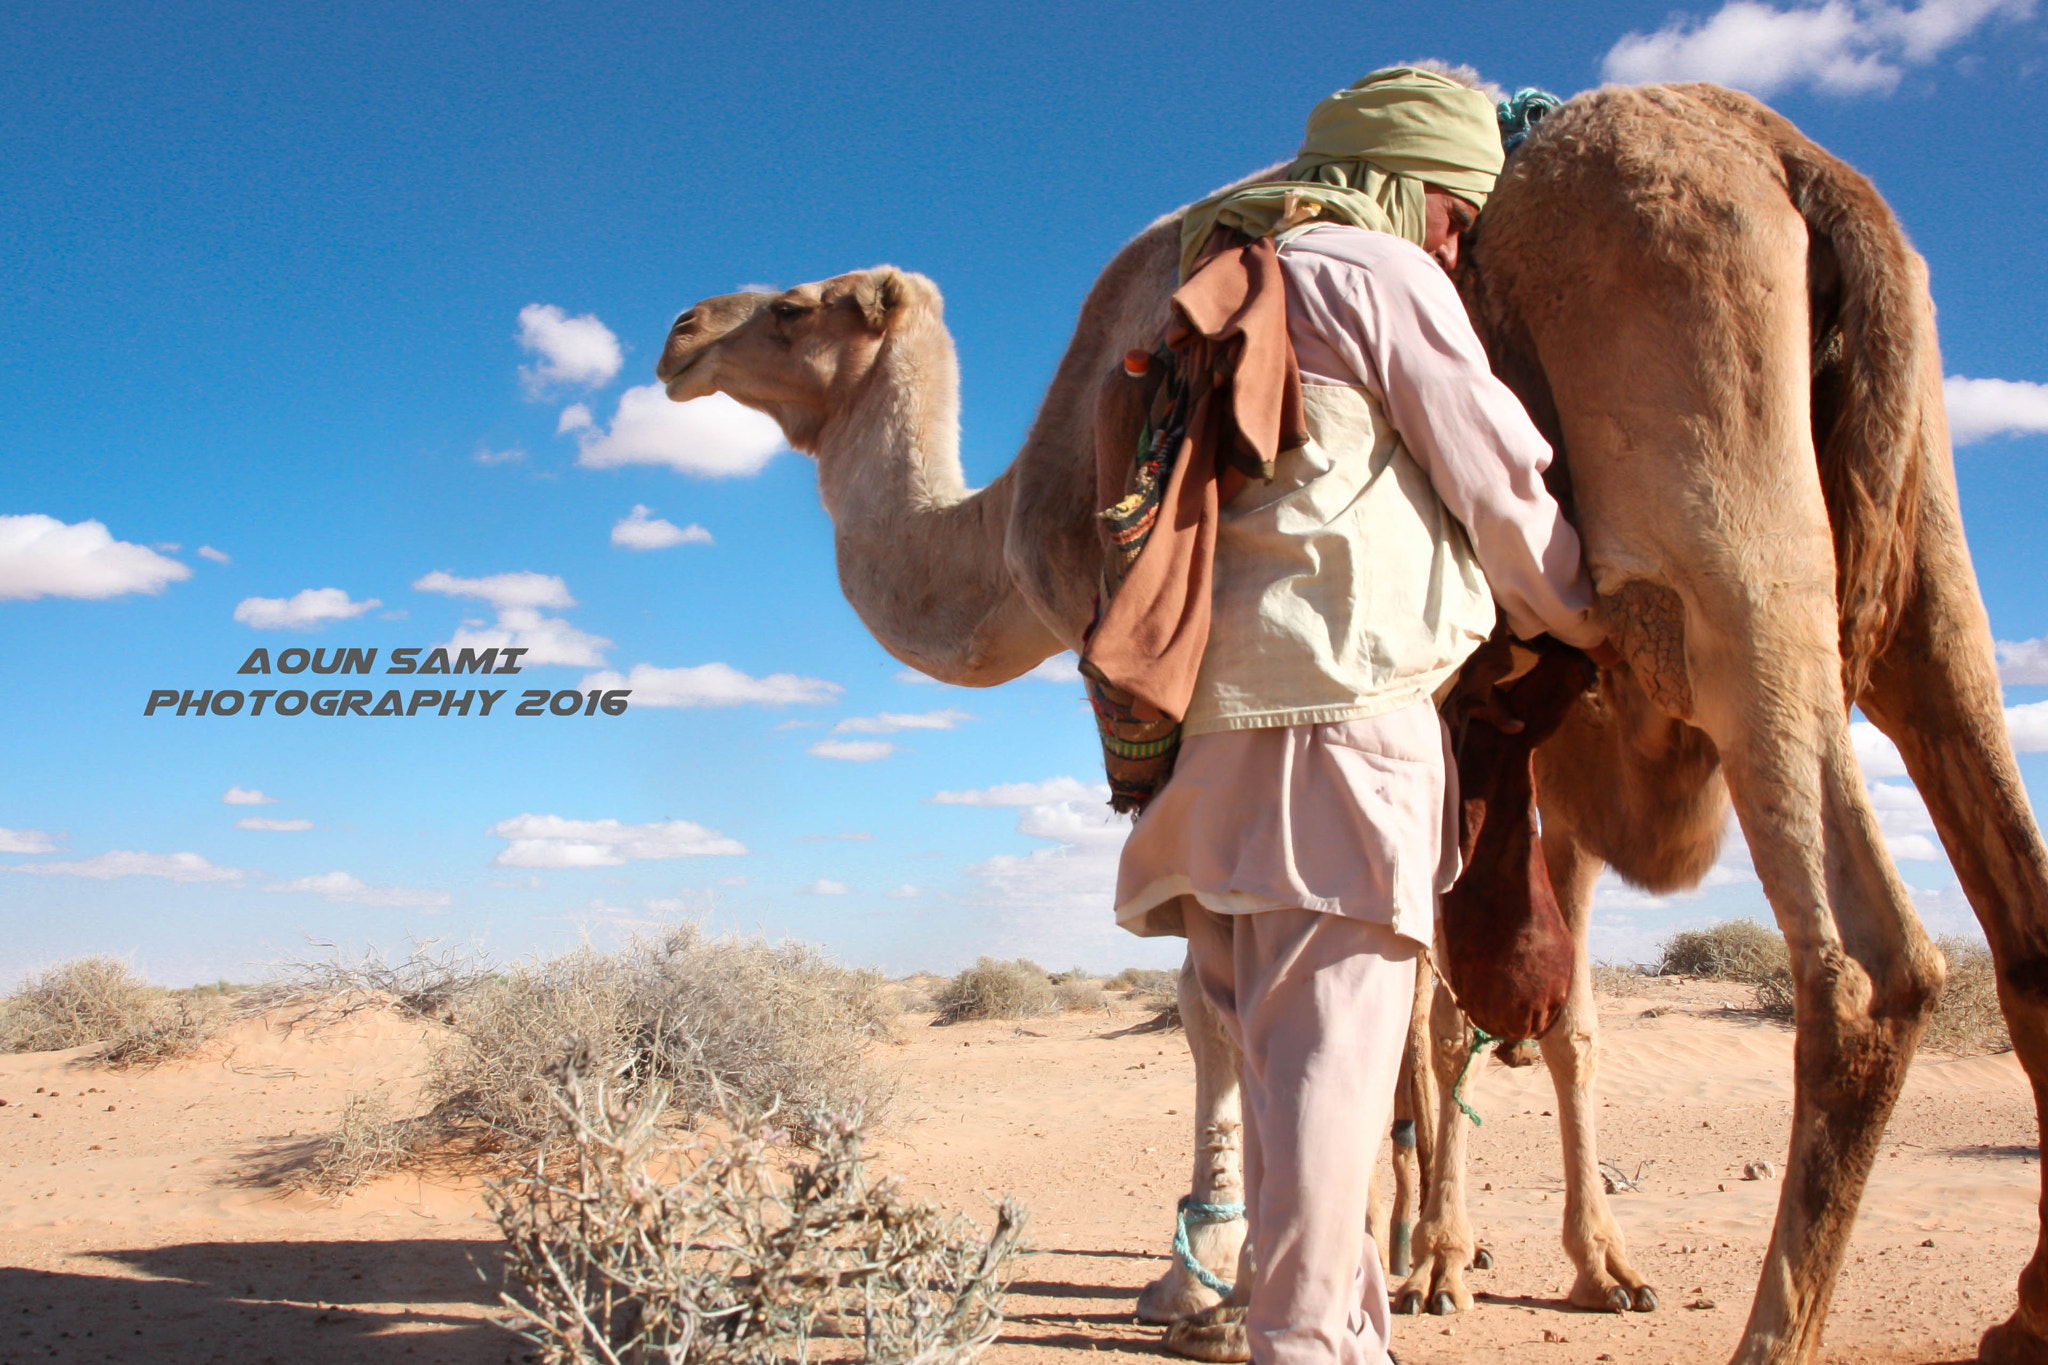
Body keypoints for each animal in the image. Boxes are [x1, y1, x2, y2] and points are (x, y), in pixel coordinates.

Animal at [655, 82, 2048, 1365]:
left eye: (797, 306)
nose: (680, 328)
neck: (1005, 534)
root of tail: (1787, 159)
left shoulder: (1176, 726)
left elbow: (1222, 1000)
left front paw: (1210, 1287)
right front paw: (1386, 1258)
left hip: (1717, 556)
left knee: (1864, 966)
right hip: (1917, 566)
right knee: (2004, 907)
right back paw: (1984, 1311)